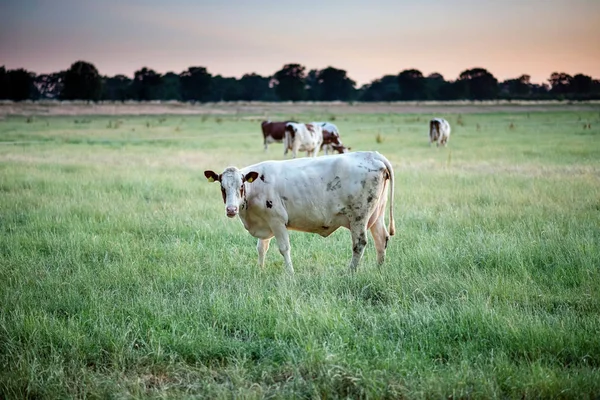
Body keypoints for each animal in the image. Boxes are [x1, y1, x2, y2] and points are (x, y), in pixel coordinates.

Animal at [204, 152, 396, 274]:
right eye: (222, 188)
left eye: (241, 186)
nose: (231, 209)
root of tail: (372, 155)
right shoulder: (265, 221)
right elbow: (261, 248)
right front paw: (260, 270)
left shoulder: (277, 221)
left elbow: (284, 248)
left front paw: (290, 273)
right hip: (377, 214)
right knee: (381, 240)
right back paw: (379, 269)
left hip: (358, 216)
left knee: (359, 244)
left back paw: (351, 271)